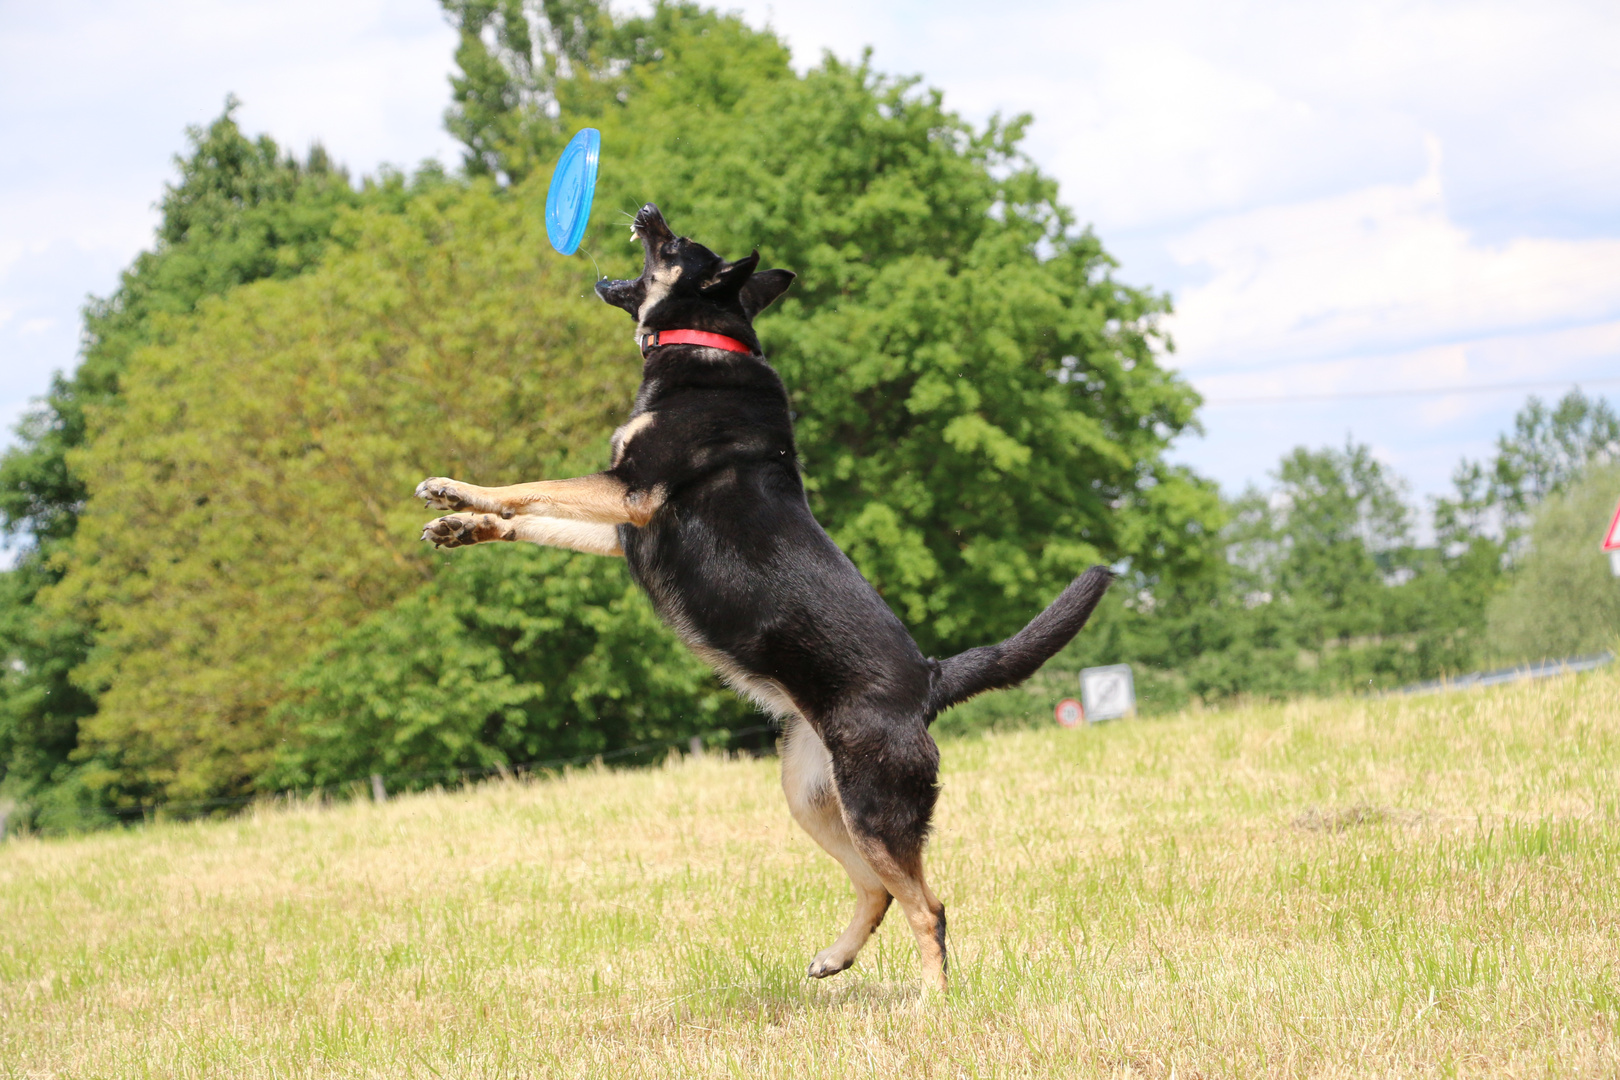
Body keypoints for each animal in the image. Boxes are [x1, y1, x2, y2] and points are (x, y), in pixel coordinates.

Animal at [414, 204, 1114, 997]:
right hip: (809, 793)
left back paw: (930, 1000)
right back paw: (836, 957)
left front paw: (454, 490)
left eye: (675, 243)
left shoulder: (630, 493)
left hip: (875, 805)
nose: (647, 210)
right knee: (876, 889)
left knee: (928, 906)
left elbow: (526, 486)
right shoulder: (625, 524)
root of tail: (932, 679)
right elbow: (531, 514)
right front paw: (462, 526)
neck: (707, 343)